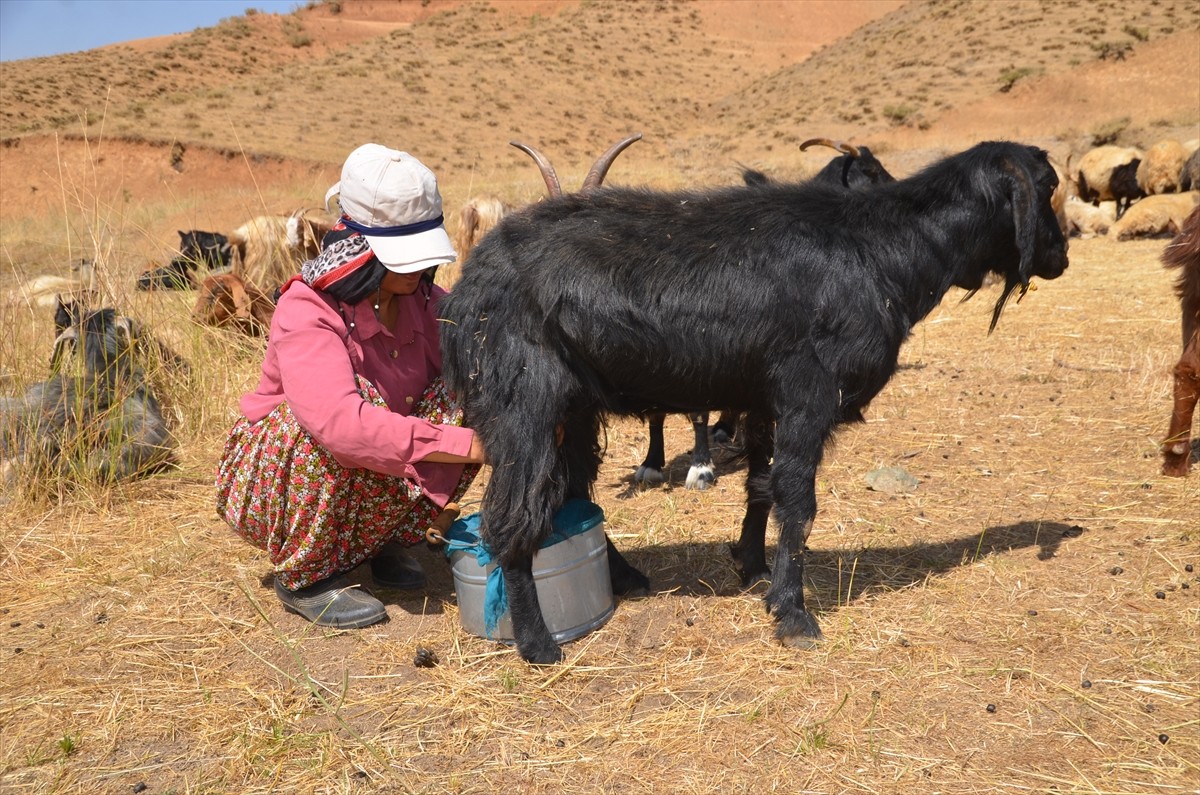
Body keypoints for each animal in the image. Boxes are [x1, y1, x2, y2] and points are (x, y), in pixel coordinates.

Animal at [441, 139, 1070, 662]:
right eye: (1048, 185)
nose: (1061, 256)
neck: (884, 247)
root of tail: (472, 281)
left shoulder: (766, 399)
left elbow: (762, 488)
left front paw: (753, 566)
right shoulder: (808, 394)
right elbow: (799, 502)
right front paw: (793, 614)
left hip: (572, 408)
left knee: (572, 491)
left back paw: (622, 577)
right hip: (524, 401)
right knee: (512, 516)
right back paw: (538, 644)